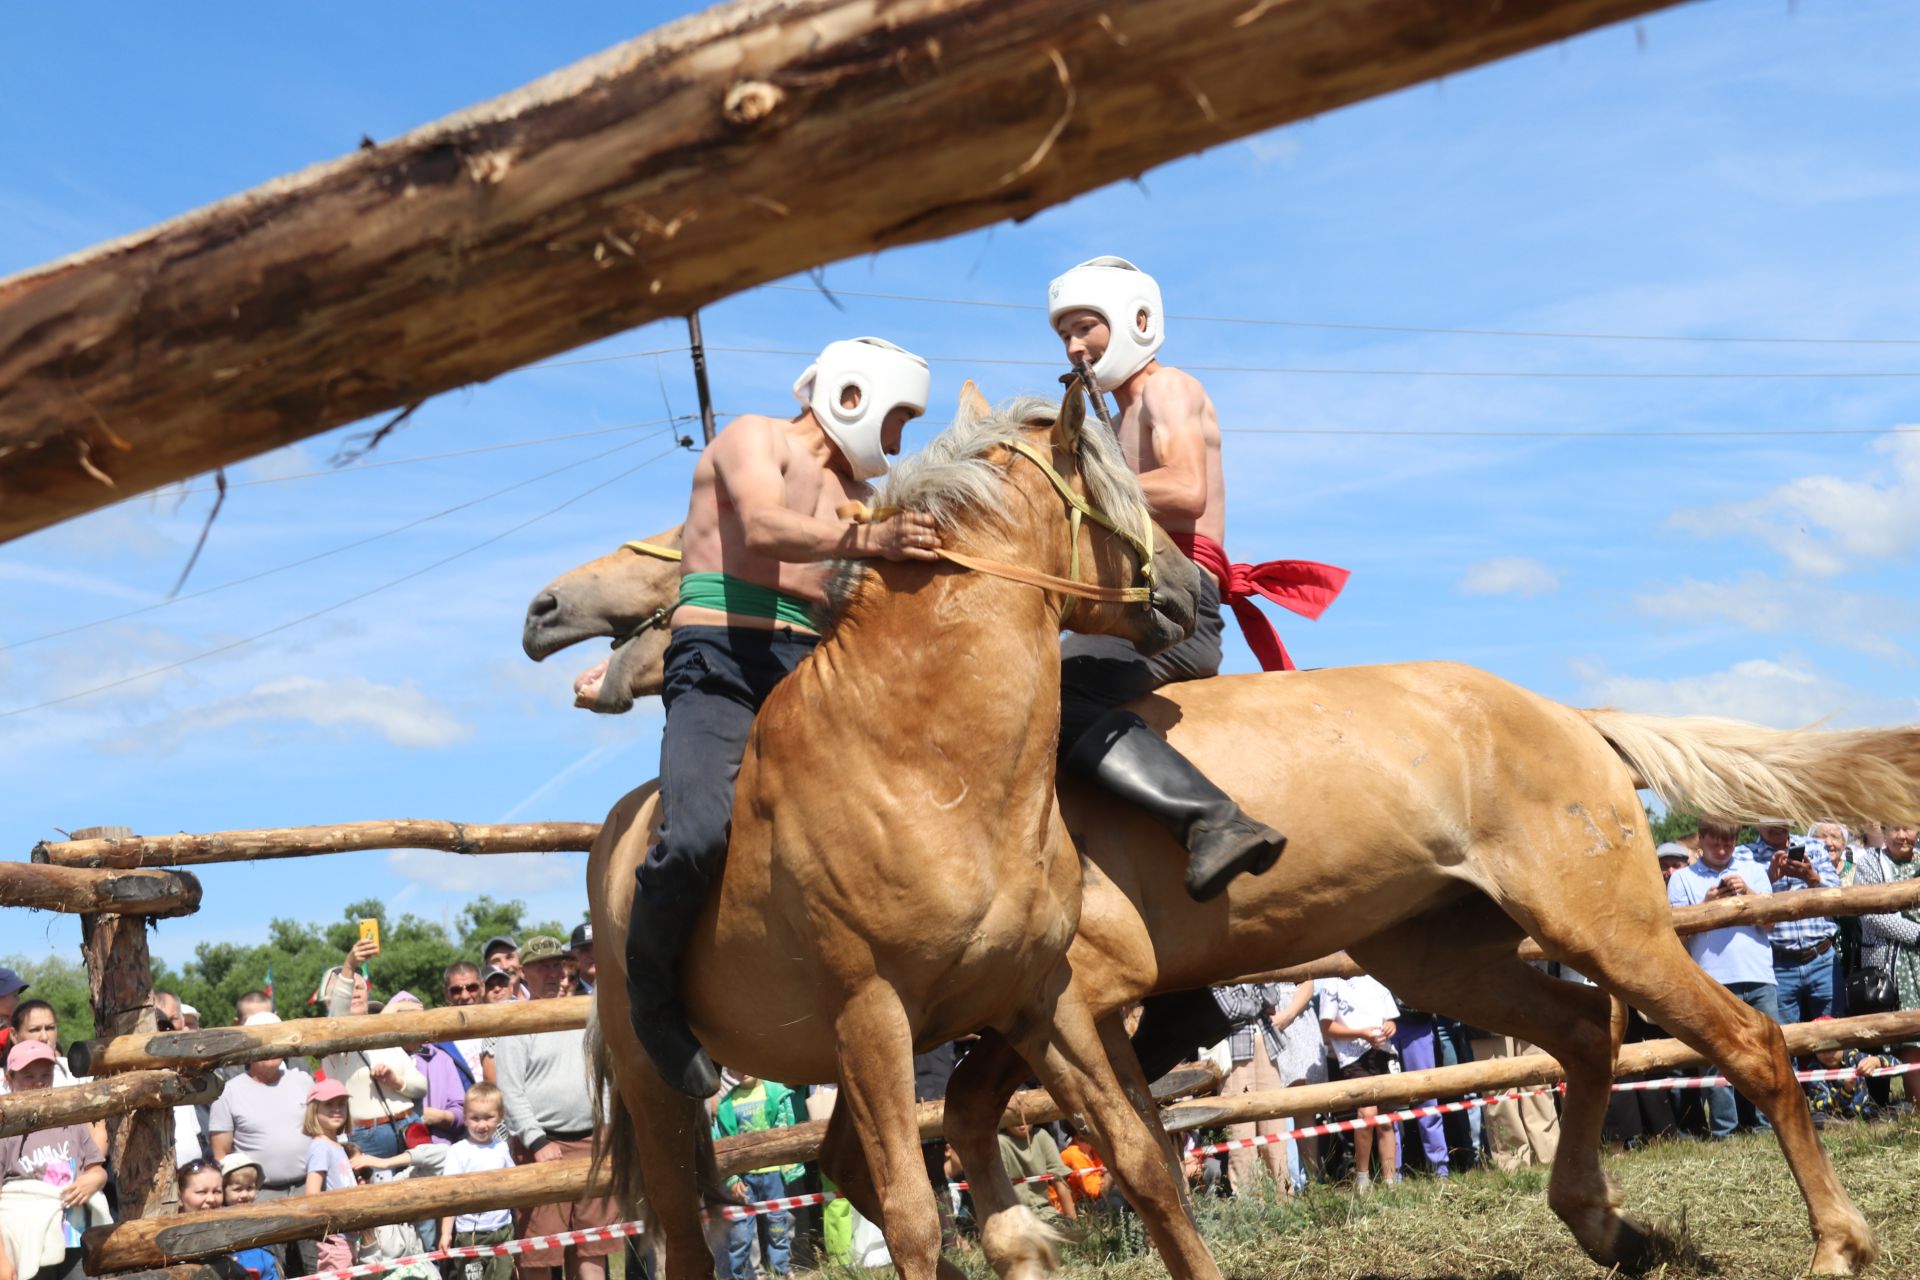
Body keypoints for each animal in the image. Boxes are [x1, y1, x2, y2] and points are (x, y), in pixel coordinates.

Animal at [529, 395, 1920, 1274]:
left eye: (683, 530)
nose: (545, 611)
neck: (912, 756)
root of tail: (1565, 713)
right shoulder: (980, 1017)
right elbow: (994, 1166)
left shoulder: (1046, 1006)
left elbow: (1089, 1162)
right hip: (1447, 947)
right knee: (1590, 1033)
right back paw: (1614, 1225)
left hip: (1597, 916)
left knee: (1739, 1042)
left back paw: (1829, 1239)